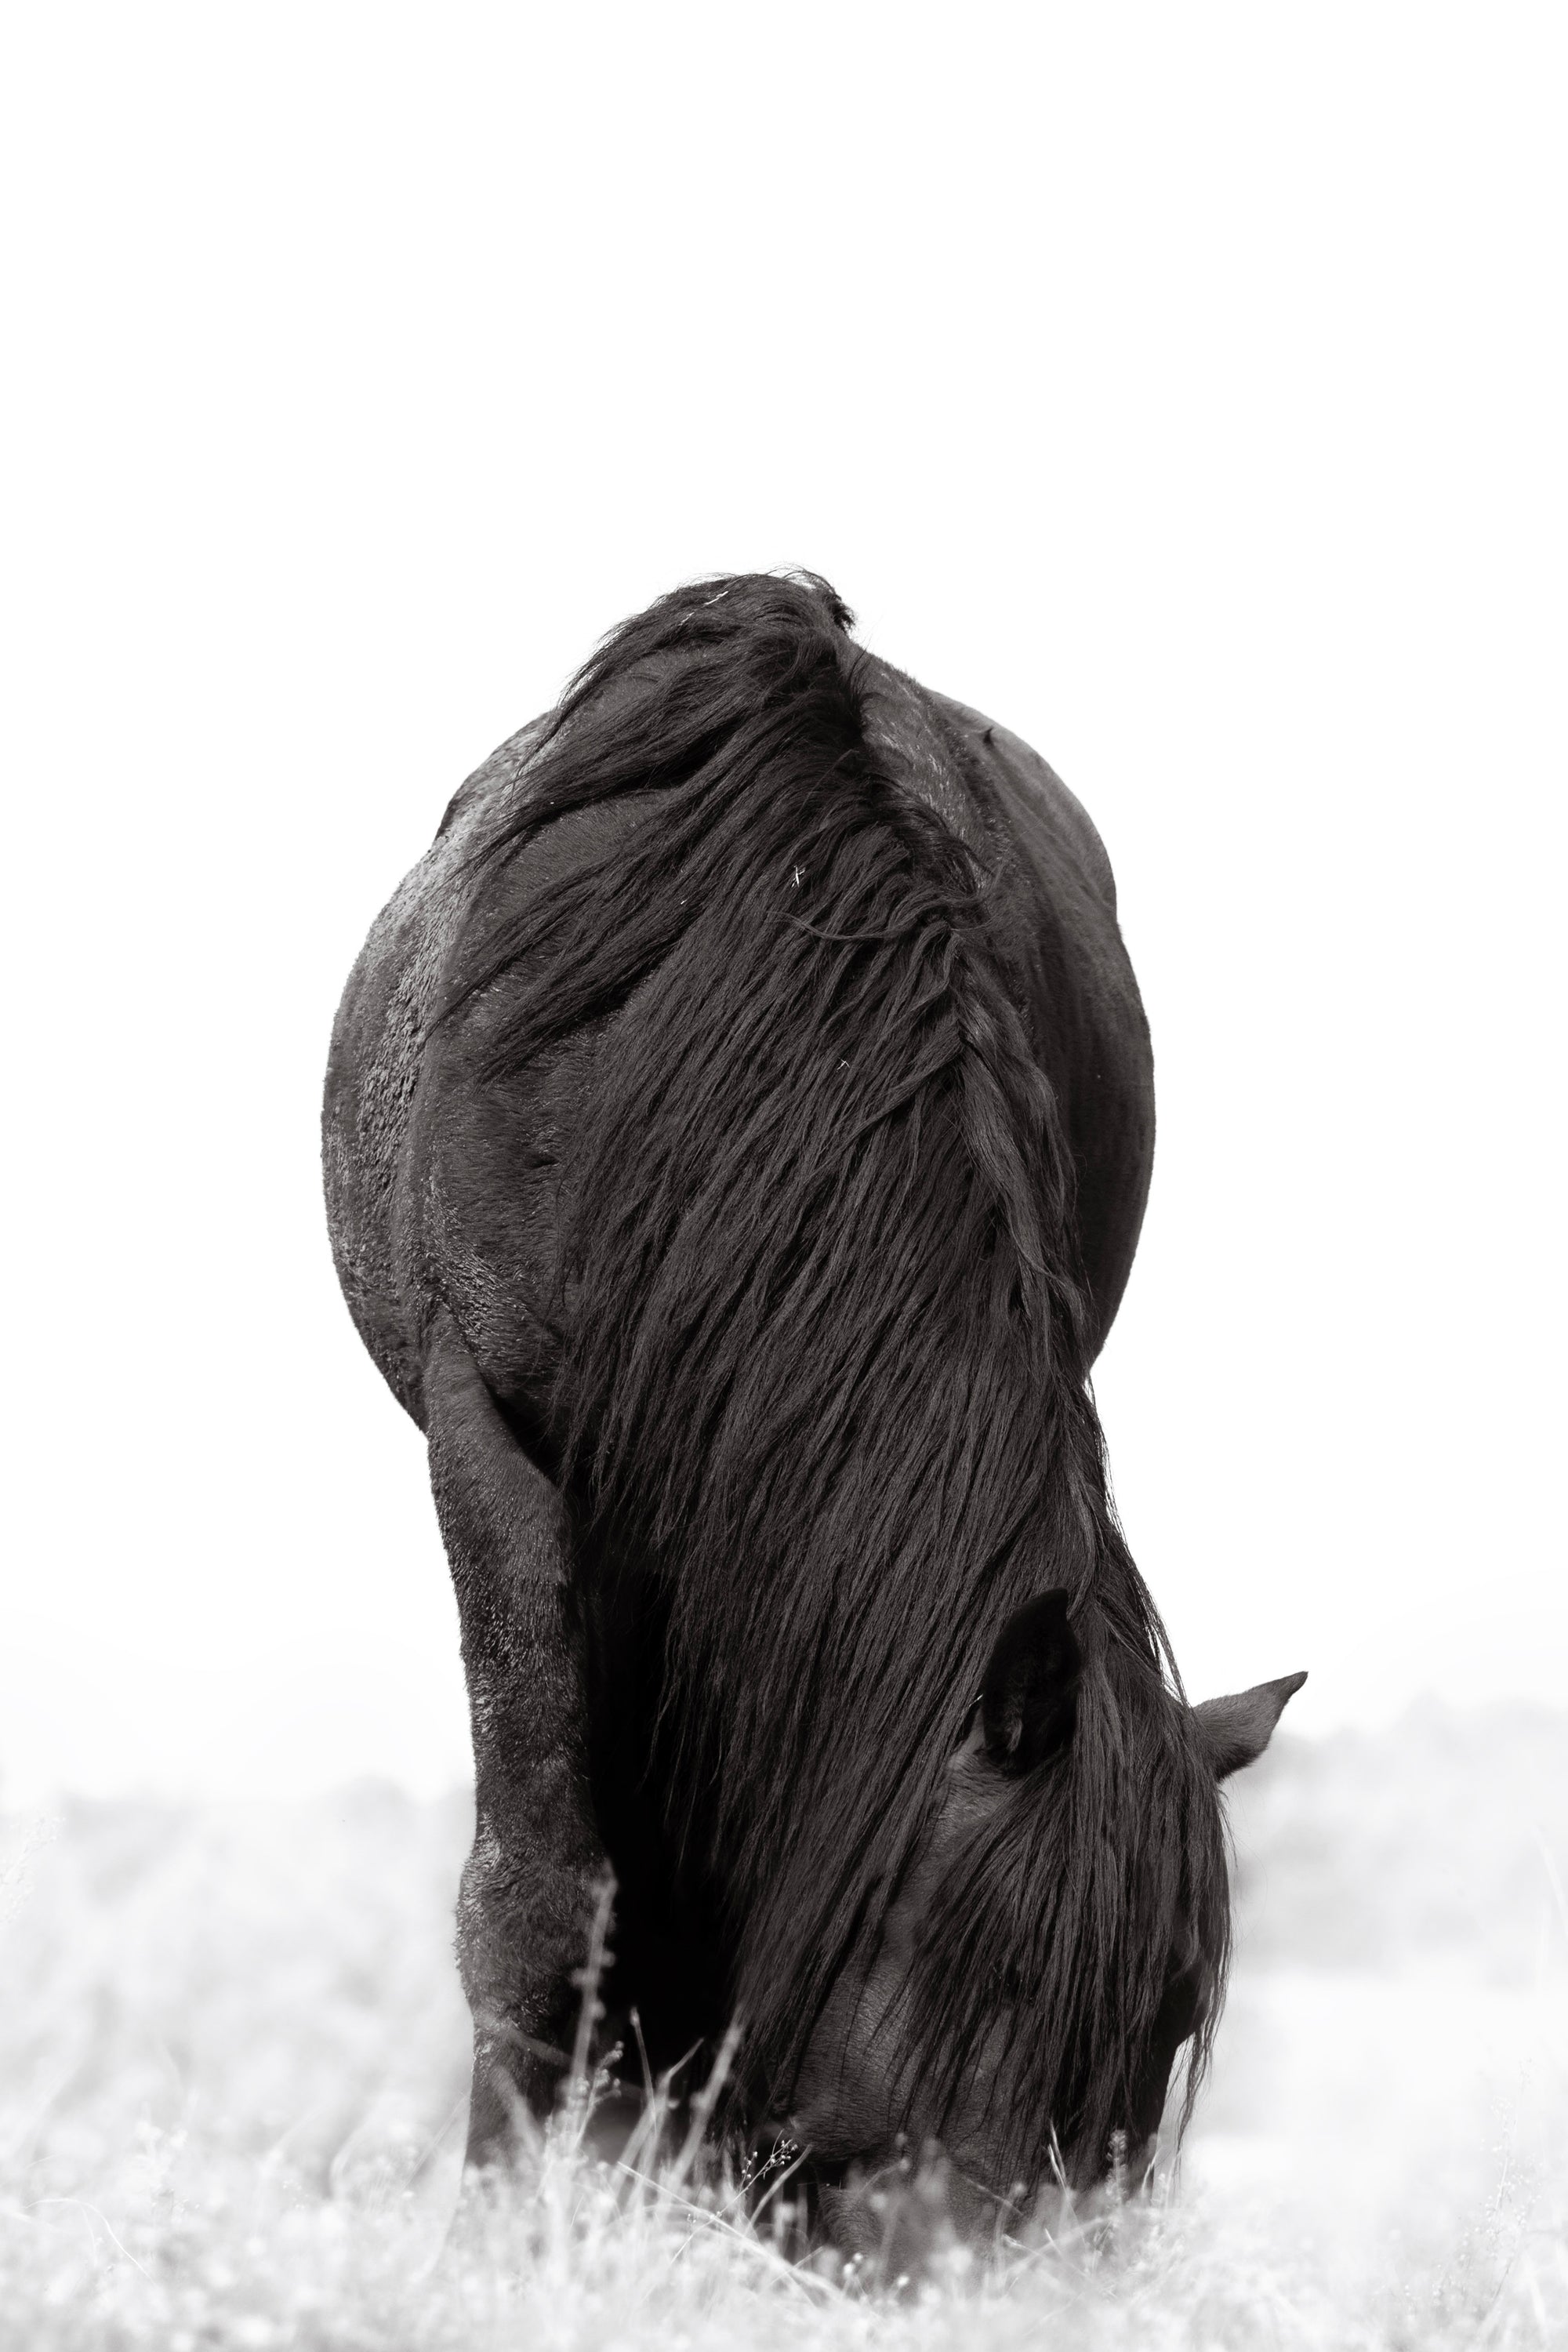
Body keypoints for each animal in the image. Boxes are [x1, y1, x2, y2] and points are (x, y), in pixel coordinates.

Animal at [322, 572, 1303, 2238]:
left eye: (1168, 2028)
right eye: (1012, 1976)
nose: (1004, 2275)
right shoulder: (490, 1432)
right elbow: (542, 1889)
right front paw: (520, 2219)